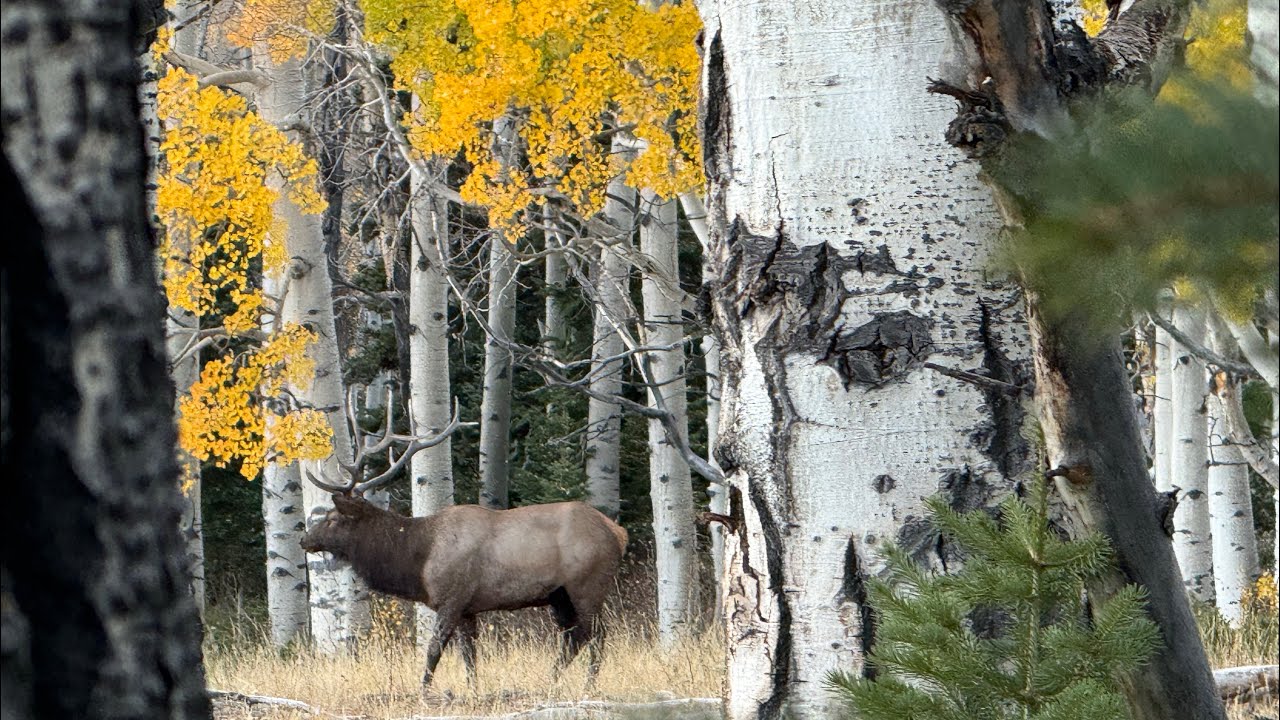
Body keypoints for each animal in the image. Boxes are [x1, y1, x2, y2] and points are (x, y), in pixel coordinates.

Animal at [299, 386, 628, 691]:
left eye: (332, 518)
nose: (304, 540)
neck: (417, 559)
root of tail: (619, 533)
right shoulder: (469, 608)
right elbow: (470, 656)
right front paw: (473, 691)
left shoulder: (452, 598)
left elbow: (434, 649)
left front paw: (424, 691)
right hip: (559, 595)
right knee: (573, 636)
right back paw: (552, 682)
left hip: (587, 584)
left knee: (595, 634)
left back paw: (587, 686)